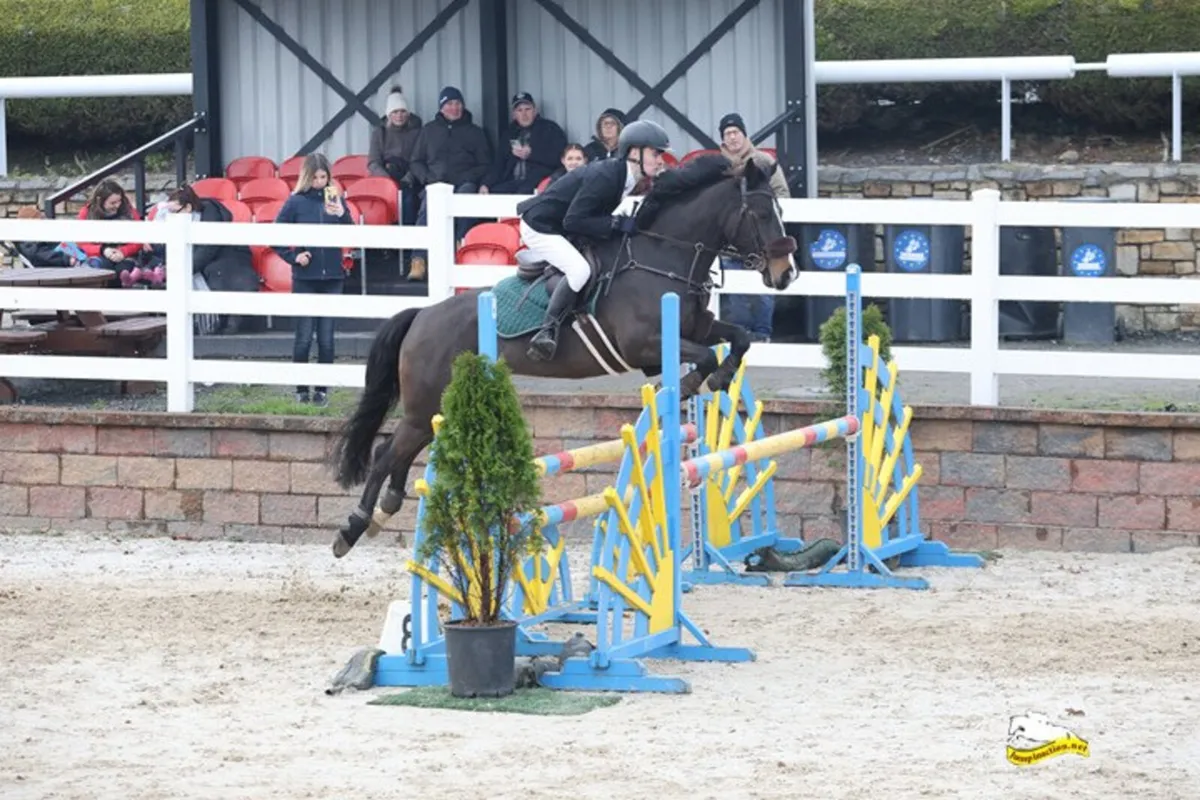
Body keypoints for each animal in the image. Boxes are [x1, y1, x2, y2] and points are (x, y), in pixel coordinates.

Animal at [328, 154, 798, 559]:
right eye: (760, 214)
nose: (786, 274)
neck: (663, 257)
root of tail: (421, 315)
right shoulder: (644, 344)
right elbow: (702, 359)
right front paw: (687, 384)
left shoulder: (698, 329)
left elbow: (739, 339)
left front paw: (717, 379)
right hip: (424, 403)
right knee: (386, 454)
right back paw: (353, 527)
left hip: (434, 406)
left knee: (400, 451)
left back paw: (386, 507)